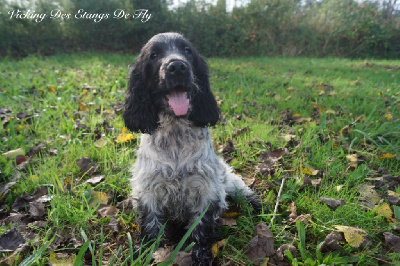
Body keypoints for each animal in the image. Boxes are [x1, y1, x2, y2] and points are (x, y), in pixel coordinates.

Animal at [122, 32, 260, 264]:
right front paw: (145, 254)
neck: (175, 134)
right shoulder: (149, 190)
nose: (177, 66)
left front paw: (201, 257)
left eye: (187, 51)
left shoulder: (205, 190)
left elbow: (201, 230)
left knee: (243, 190)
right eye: (154, 55)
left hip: (229, 180)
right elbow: (151, 226)